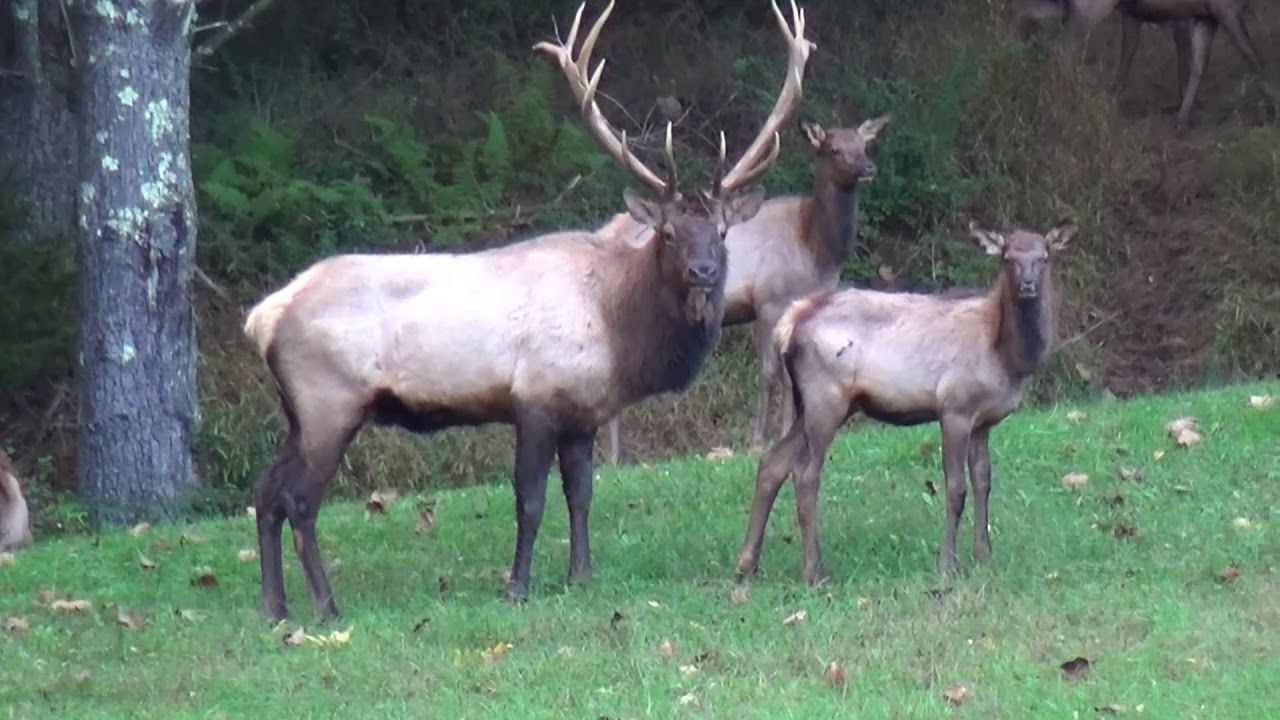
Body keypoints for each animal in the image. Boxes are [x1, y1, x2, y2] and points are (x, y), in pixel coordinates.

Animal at [240, 0, 813, 621]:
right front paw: (517, 586)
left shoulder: (584, 412)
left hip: (299, 411)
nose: (704, 272)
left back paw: (275, 607)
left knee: (265, 493)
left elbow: (582, 494)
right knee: (297, 499)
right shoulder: (534, 398)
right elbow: (531, 500)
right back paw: (326, 607)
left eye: (722, 232)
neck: (617, 329)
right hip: (330, 400)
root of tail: (262, 317)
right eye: (668, 234)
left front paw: (581, 576)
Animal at [601, 115, 892, 465]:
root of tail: (605, 231)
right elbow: (772, 373)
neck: (818, 249)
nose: (869, 167)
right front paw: (763, 438)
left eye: (864, 144)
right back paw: (613, 458)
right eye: (833, 148)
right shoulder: (768, 301)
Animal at [733, 219, 1076, 586]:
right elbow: (956, 489)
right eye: (1008, 258)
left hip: (813, 404)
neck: (1004, 357)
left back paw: (747, 564)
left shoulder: (983, 420)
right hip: (826, 396)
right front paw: (948, 564)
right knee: (805, 473)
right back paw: (815, 571)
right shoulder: (954, 407)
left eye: (1044, 257)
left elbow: (984, 482)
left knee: (772, 463)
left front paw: (984, 555)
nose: (1028, 285)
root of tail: (790, 321)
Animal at [1018, 0, 1263, 133]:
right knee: (1060, 51)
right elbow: (1252, 55)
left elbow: (1199, 64)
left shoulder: (1206, 15)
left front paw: (1182, 119)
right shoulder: (1225, 9)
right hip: (1091, 8)